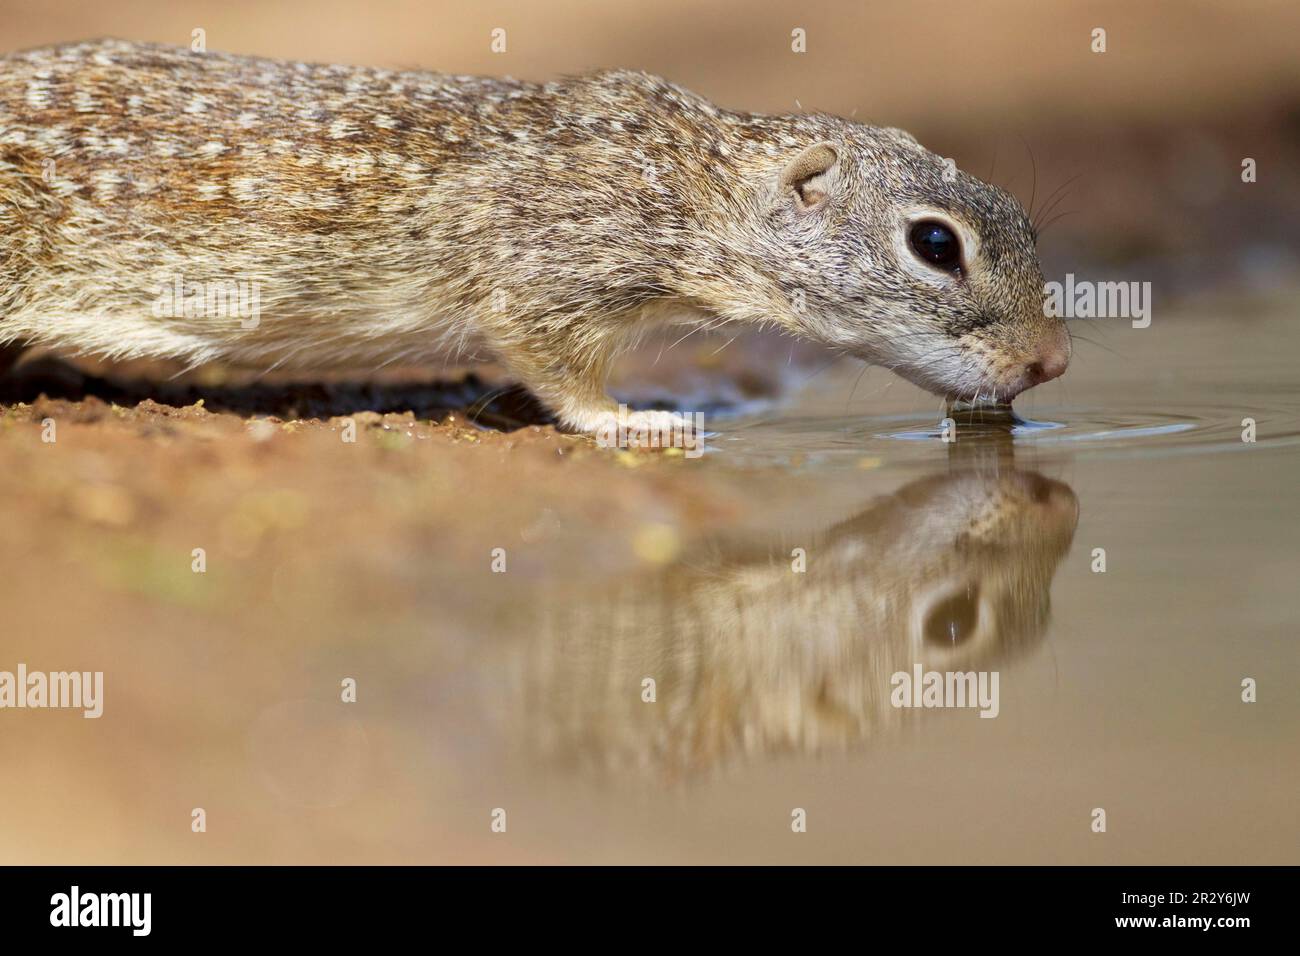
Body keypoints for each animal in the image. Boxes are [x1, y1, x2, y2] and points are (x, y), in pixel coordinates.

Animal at [0, 40, 1071, 434]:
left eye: (1024, 223)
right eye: (936, 245)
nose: (1054, 363)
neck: (688, 179)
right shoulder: (546, 280)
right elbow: (560, 375)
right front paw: (635, 420)